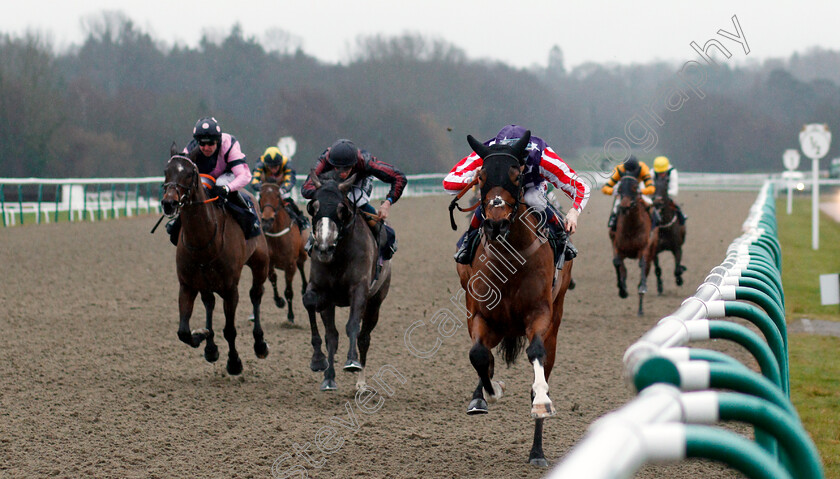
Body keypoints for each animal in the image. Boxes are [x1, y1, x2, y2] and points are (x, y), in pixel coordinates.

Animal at [160, 144, 270, 376]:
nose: (169, 203)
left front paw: (234, 362)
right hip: (206, 282)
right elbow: (183, 332)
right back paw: (210, 347)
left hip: (260, 263)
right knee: (209, 302)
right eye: (166, 171)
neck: (204, 240)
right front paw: (202, 335)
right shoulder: (187, 284)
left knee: (256, 294)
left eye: (189, 173)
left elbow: (230, 330)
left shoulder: (230, 288)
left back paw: (260, 344)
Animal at [260, 182, 308, 324]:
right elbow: (273, 279)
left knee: (301, 266)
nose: (267, 220)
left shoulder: (290, 265)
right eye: (261, 195)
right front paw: (279, 301)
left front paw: (291, 316)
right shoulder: (269, 263)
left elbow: (289, 292)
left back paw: (304, 288)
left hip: (302, 254)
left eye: (277, 195)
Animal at [304, 171, 392, 392]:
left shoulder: (359, 288)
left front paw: (352, 361)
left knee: (364, 338)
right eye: (313, 207)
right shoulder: (321, 290)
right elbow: (310, 304)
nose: (324, 247)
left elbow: (353, 325)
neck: (339, 256)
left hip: (376, 301)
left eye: (341, 209)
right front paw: (318, 360)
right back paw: (329, 378)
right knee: (332, 335)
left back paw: (361, 382)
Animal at [456, 131, 576, 468]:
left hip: (556, 318)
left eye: (516, 174)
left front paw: (542, 402)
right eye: (482, 176)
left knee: (544, 361)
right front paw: (487, 393)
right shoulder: (480, 314)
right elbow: (478, 355)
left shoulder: (540, 313)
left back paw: (537, 450)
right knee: (483, 354)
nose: (495, 222)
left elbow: (535, 356)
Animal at [612, 175, 656, 316]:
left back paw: (640, 308)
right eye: (620, 188)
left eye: (635, 188)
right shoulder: (617, 246)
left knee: (646, 269)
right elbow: (617, 263)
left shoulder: (644, 248)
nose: (624, 206)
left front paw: (642, 287)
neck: (631, 227)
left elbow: (642, 264)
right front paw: (622, 290)